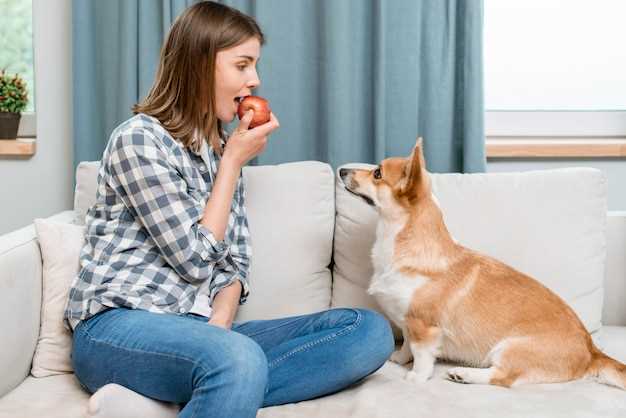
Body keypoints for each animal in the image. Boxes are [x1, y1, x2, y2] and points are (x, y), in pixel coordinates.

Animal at [342, 137, 624, 388]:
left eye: (377, 173)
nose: (342, 169)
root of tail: (592, 351)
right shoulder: (408, 323)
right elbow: (407, 347)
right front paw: (398, 359)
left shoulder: (423, 326)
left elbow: (421, 355)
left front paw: (415, 377)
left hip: (509, 348)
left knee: (502, 378)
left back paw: (464, 374)